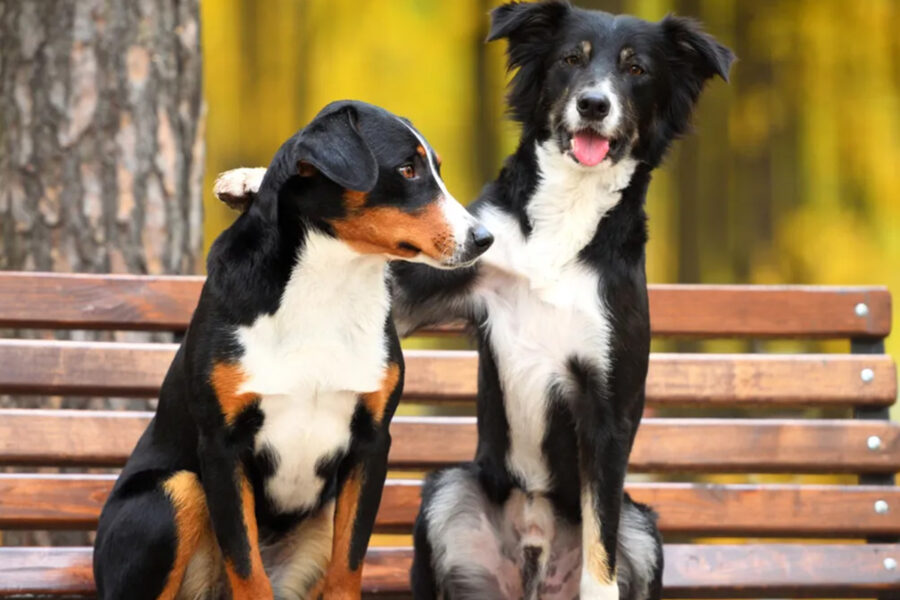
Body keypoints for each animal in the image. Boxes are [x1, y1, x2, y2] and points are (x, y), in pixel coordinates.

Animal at [93, 101, 492, 596]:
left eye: (435, 168)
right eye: (406, 169)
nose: (484, 238)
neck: (327, 287)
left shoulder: (371, 442)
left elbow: (348, 562)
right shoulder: (222, 446)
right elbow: (247, 568)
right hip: (172, 491)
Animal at [216, 2, 732, 596]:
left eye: (637, 70)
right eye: (570, 60)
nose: (593, 104)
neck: (567, 216)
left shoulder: (609, 401)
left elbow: (599, 548)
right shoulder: (440, 279)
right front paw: (248, 180)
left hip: (642, 530)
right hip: (448, 494)